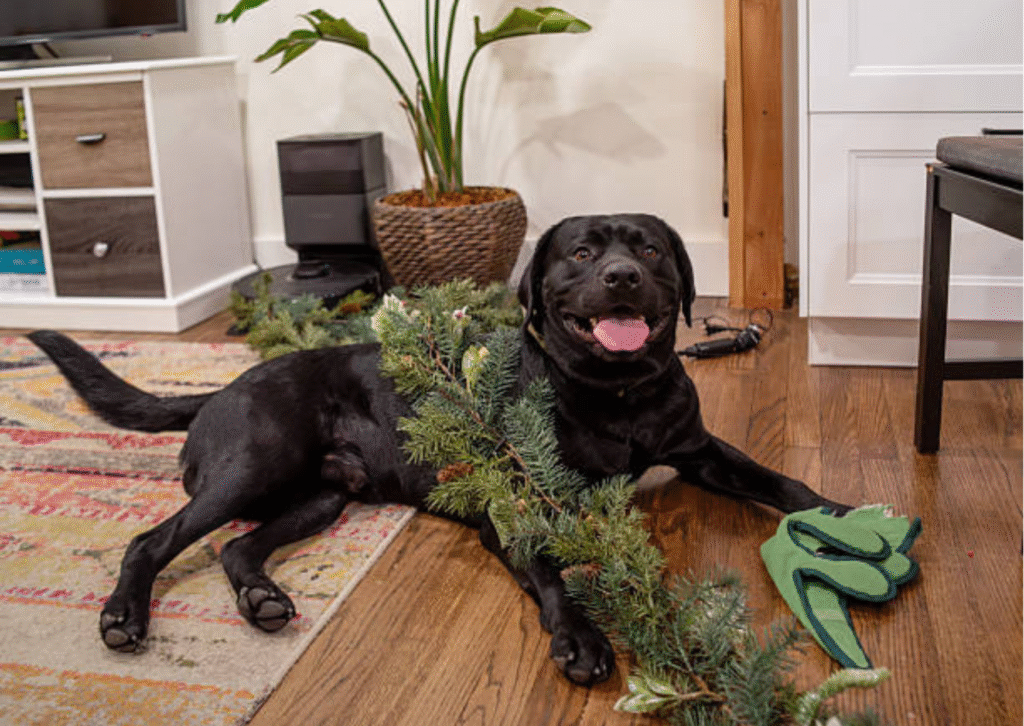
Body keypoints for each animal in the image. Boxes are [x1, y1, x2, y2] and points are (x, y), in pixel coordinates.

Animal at [28, 213, 847, 686]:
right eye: (583, 252)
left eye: (650, 249)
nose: (623, 276)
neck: (617, 396)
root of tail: (222, 386)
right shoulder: (512, 501)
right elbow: (551, 569)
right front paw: (580, 638)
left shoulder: (700, 448)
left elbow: (779, 481)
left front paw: (840, 514)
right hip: (251, 465)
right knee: (151, 539)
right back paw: (123, 617)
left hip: (322, 497)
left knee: (238, 549)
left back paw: (263, 598)